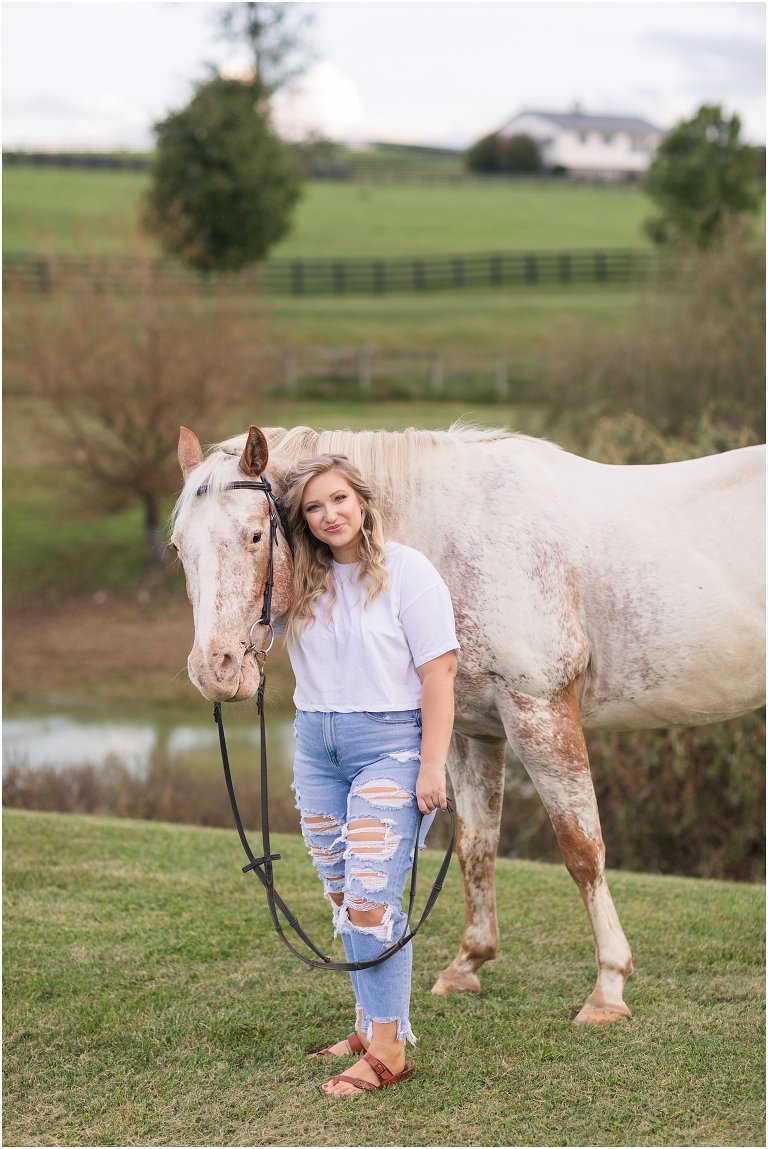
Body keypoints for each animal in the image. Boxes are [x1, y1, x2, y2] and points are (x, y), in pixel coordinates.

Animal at [172, 422, 765, 1025]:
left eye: (253, 537)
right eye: (178, 547)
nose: (215, 670)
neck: (454, 539)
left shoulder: (540, 712)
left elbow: (582, 849)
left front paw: (608, 988)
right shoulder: (470, 732)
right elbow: (477, 844)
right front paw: (468, 965)